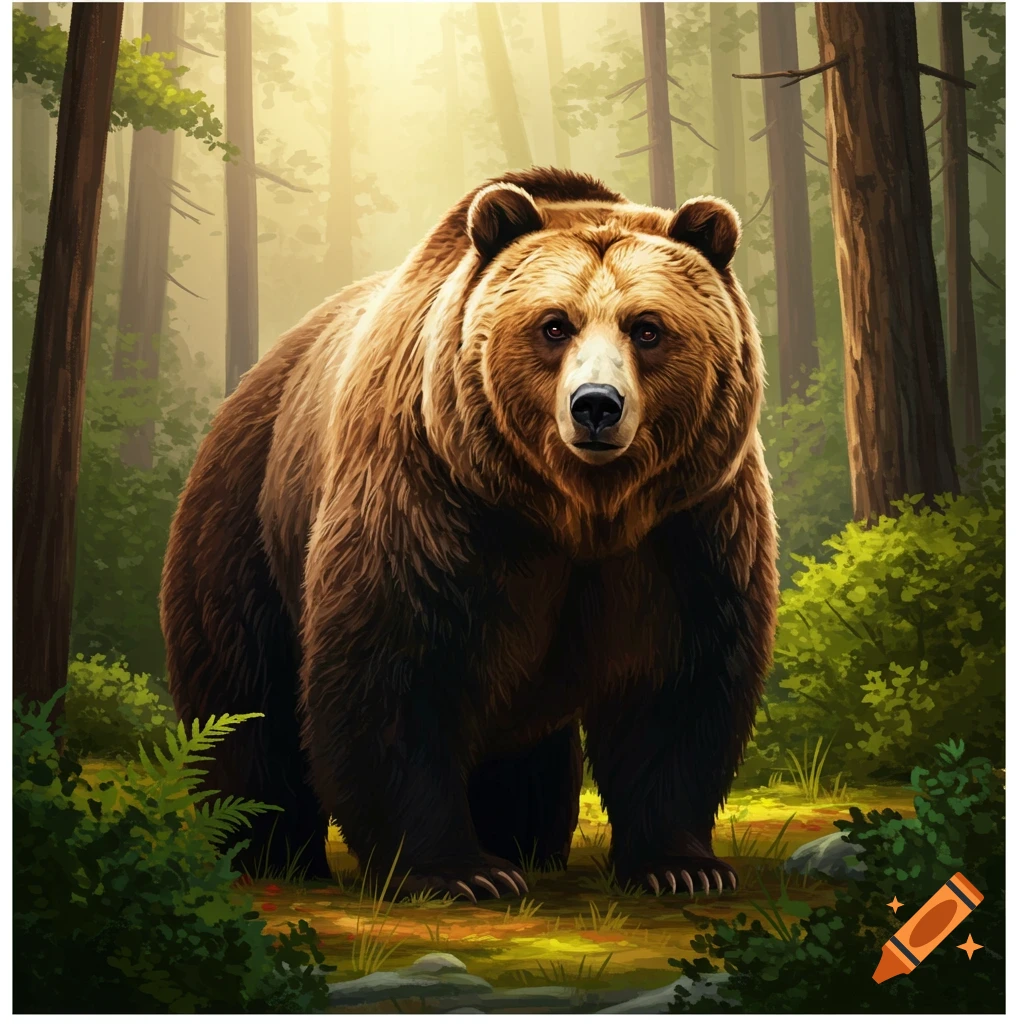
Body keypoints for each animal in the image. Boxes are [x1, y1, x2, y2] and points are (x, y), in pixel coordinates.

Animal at [160, 167, 778, 900]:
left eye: (648, 328)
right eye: (554, 324)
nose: (596, 406)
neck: (578, 510)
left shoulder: (691, 522)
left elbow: (680, 681)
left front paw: (681, 866)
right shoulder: (434, 496)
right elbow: (398, 667)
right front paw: (459, 872)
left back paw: (525, 839)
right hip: (244, 520)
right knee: (248, 699)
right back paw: (270, 850)